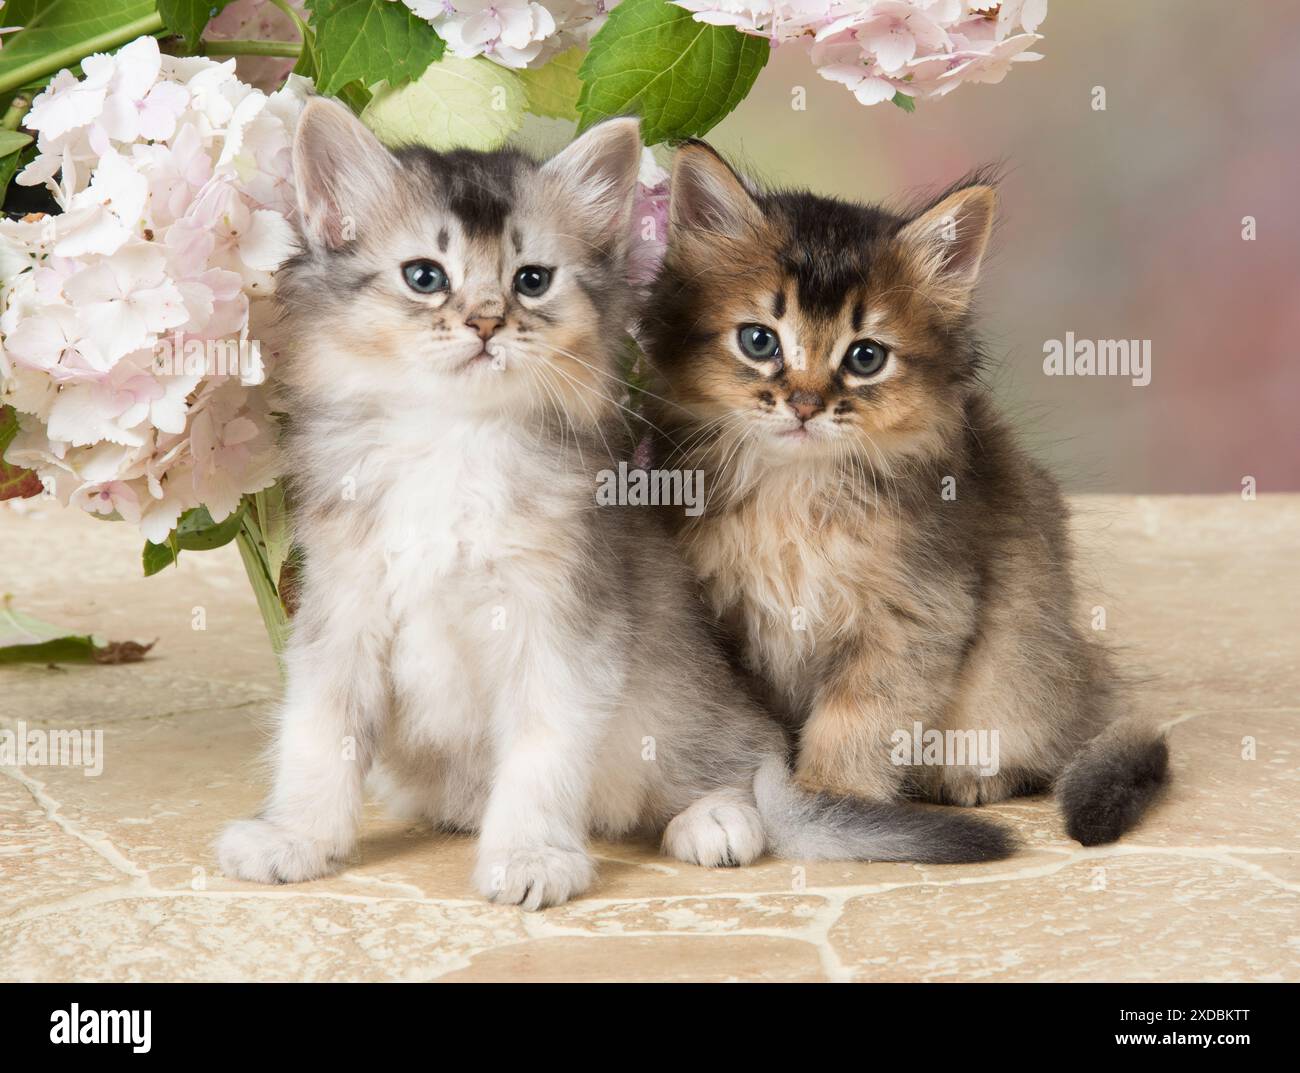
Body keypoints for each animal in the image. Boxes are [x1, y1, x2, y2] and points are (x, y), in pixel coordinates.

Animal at [213, 100, 1008, 910]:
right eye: (424, 276)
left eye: (532, 280)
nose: (486, 322)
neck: (456, 441)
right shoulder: (342, 611)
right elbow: (317, 736)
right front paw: (295, 837)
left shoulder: (563, 622)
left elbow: (540, 753)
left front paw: (530, 857)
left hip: (687, 712)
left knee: (748, 774)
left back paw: (715, 819)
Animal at [644, 144, 1175, 847]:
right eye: (759, 340)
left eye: (865, 357)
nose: (806, 405)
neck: (795, 496)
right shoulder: (721, 620)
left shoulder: (917, 614)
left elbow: (856, 723)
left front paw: (829, 804)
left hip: (1024, 672)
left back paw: (968, 779)